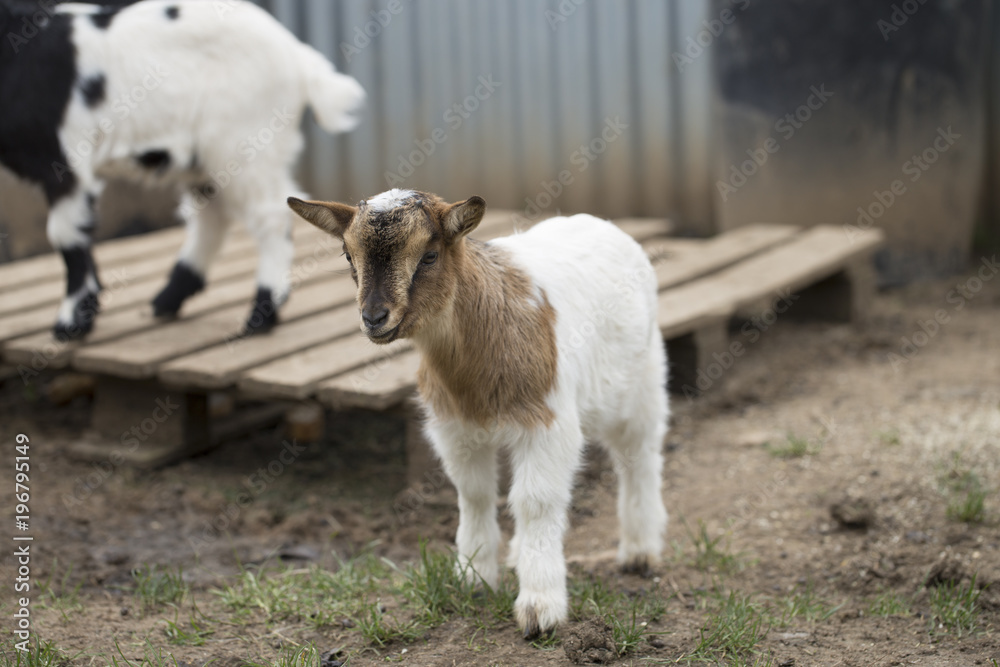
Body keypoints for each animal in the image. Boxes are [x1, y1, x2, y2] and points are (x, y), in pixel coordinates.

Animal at [0, 0, 365, 338]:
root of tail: (298, 55)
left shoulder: (65, 161)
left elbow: (65, 235)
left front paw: (71, 323)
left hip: (244, 139)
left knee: (269, 214)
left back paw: (260, 314)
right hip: (206, 156)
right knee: (211, 216)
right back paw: (169, 298)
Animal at [288, 189, 669, 638]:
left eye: (430, 255)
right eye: (348, 255)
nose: (374, 318)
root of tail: (602, 224)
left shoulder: (546, 422)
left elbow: (536, 501)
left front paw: (540, 608)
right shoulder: (454, 427)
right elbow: (474, 493)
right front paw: (474, 576)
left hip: (643, 381)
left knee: (639, 457)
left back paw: (640, 551)